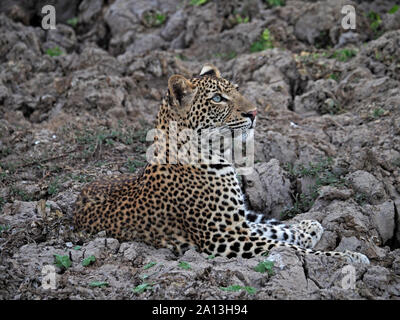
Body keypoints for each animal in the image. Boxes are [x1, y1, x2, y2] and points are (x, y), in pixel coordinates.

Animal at [73, 63, 370, 264]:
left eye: (237, 91)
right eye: (217, 99)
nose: (254, 112)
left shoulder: (236, 225)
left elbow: (274, 231)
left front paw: (307, 229)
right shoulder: (224, 238)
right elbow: (286, 247)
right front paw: (346, 258)